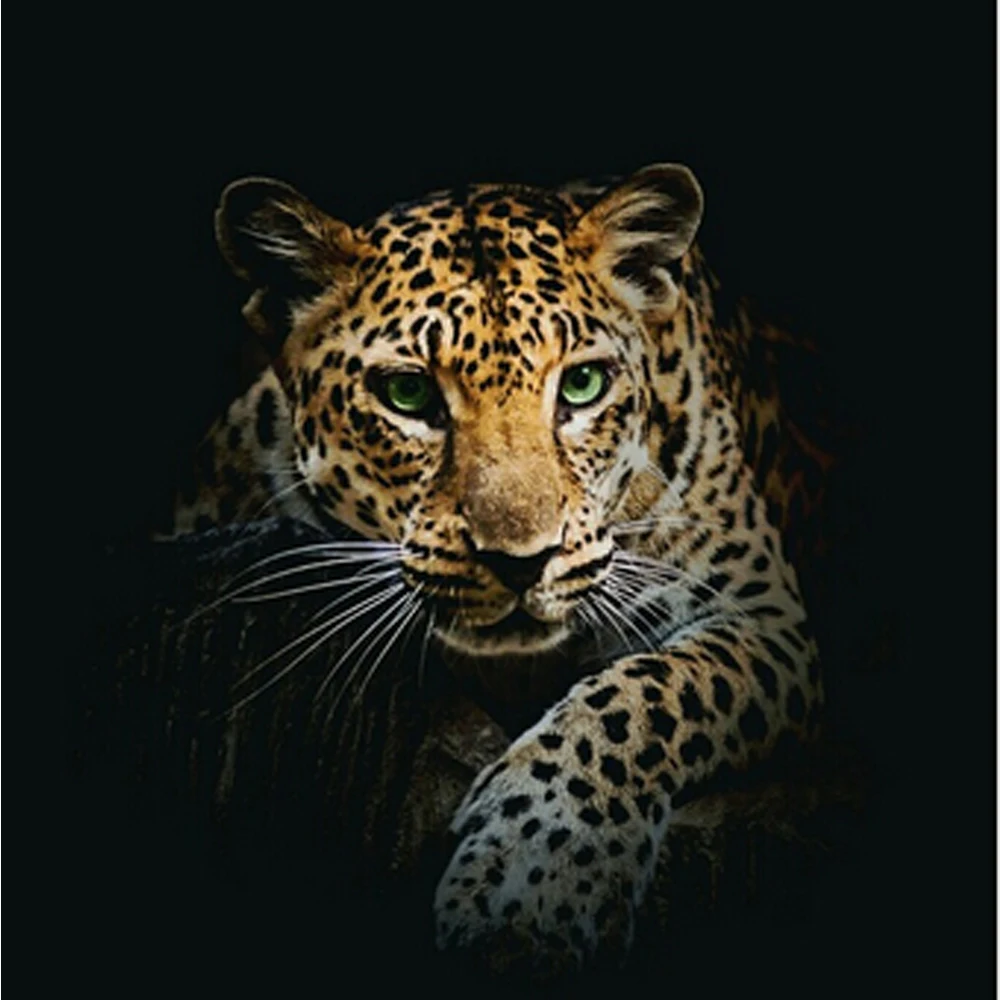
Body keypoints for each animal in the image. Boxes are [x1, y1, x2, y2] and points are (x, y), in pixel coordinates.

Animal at [166, 163, 834, 972]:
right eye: (409, 393)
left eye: (581, 386)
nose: (522, 561)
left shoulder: (768, 618)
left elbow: (646, 696)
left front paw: (532, 884)